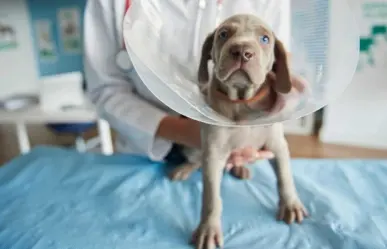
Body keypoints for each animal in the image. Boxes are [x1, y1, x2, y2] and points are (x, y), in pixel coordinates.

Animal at [171, 14, 308, 249]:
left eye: (264, 39)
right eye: (223, 34)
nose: (242, 51)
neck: (243, 102)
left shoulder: (278, 145)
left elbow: (285, 176)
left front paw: (291, 204)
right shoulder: (214, 153)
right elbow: (211, 197)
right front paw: (208, 229)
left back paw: (240, 168)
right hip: (192, 148)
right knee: (196, 160)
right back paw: (184, 168)